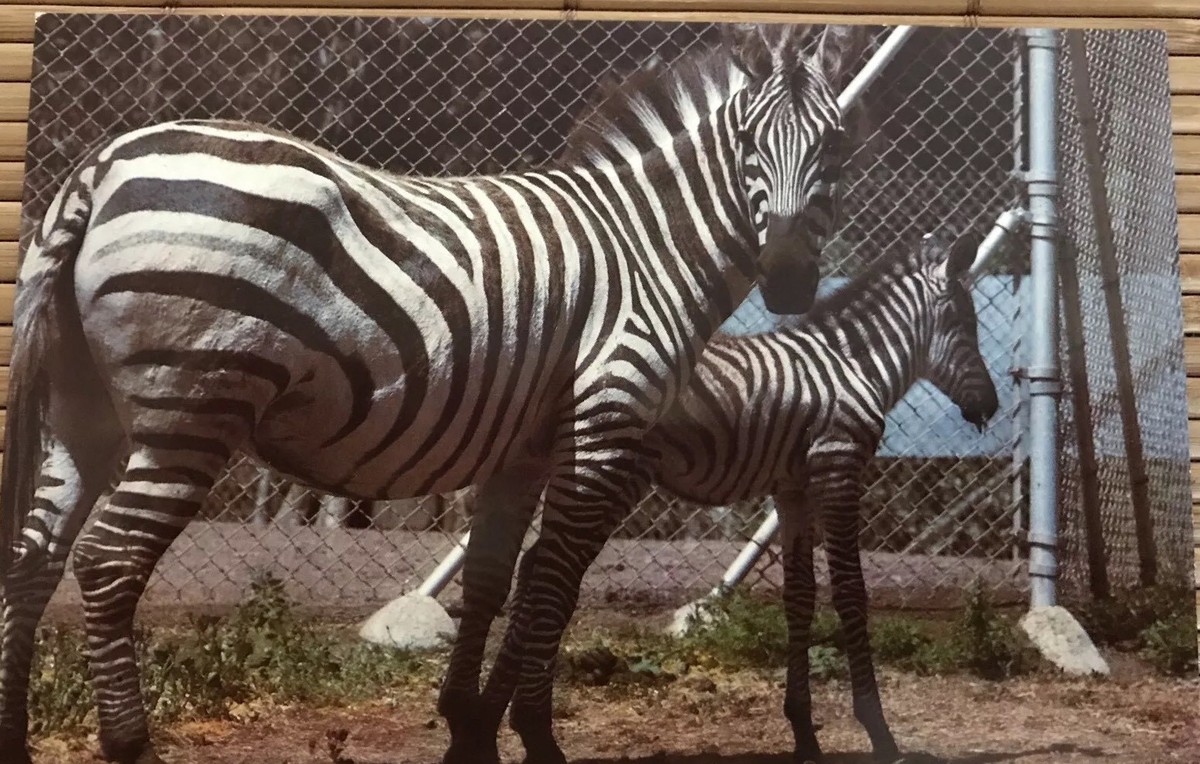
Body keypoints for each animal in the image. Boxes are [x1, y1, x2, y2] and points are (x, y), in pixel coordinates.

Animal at [0, 22, 856, 764]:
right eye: (747, 145)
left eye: (838, 145)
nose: (787, 279)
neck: (647, 249)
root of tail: (103, 166)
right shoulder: (605, 427)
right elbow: (554, 582)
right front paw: (532, 733)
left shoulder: (526, 445)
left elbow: (491, 578)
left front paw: (467, 727)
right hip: (193, 404)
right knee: (108, 560)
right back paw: (131, 746)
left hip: (85, 412)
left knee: (34, 557)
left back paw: (15, 737)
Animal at [644, 230, 1000, 763]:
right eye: (963, 323)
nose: (991, 407)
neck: (853, 363)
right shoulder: (838, 466)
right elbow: (851, 590)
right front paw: (878, 730)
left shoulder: (793, 489)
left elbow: (801, 596)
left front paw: (803, 732)